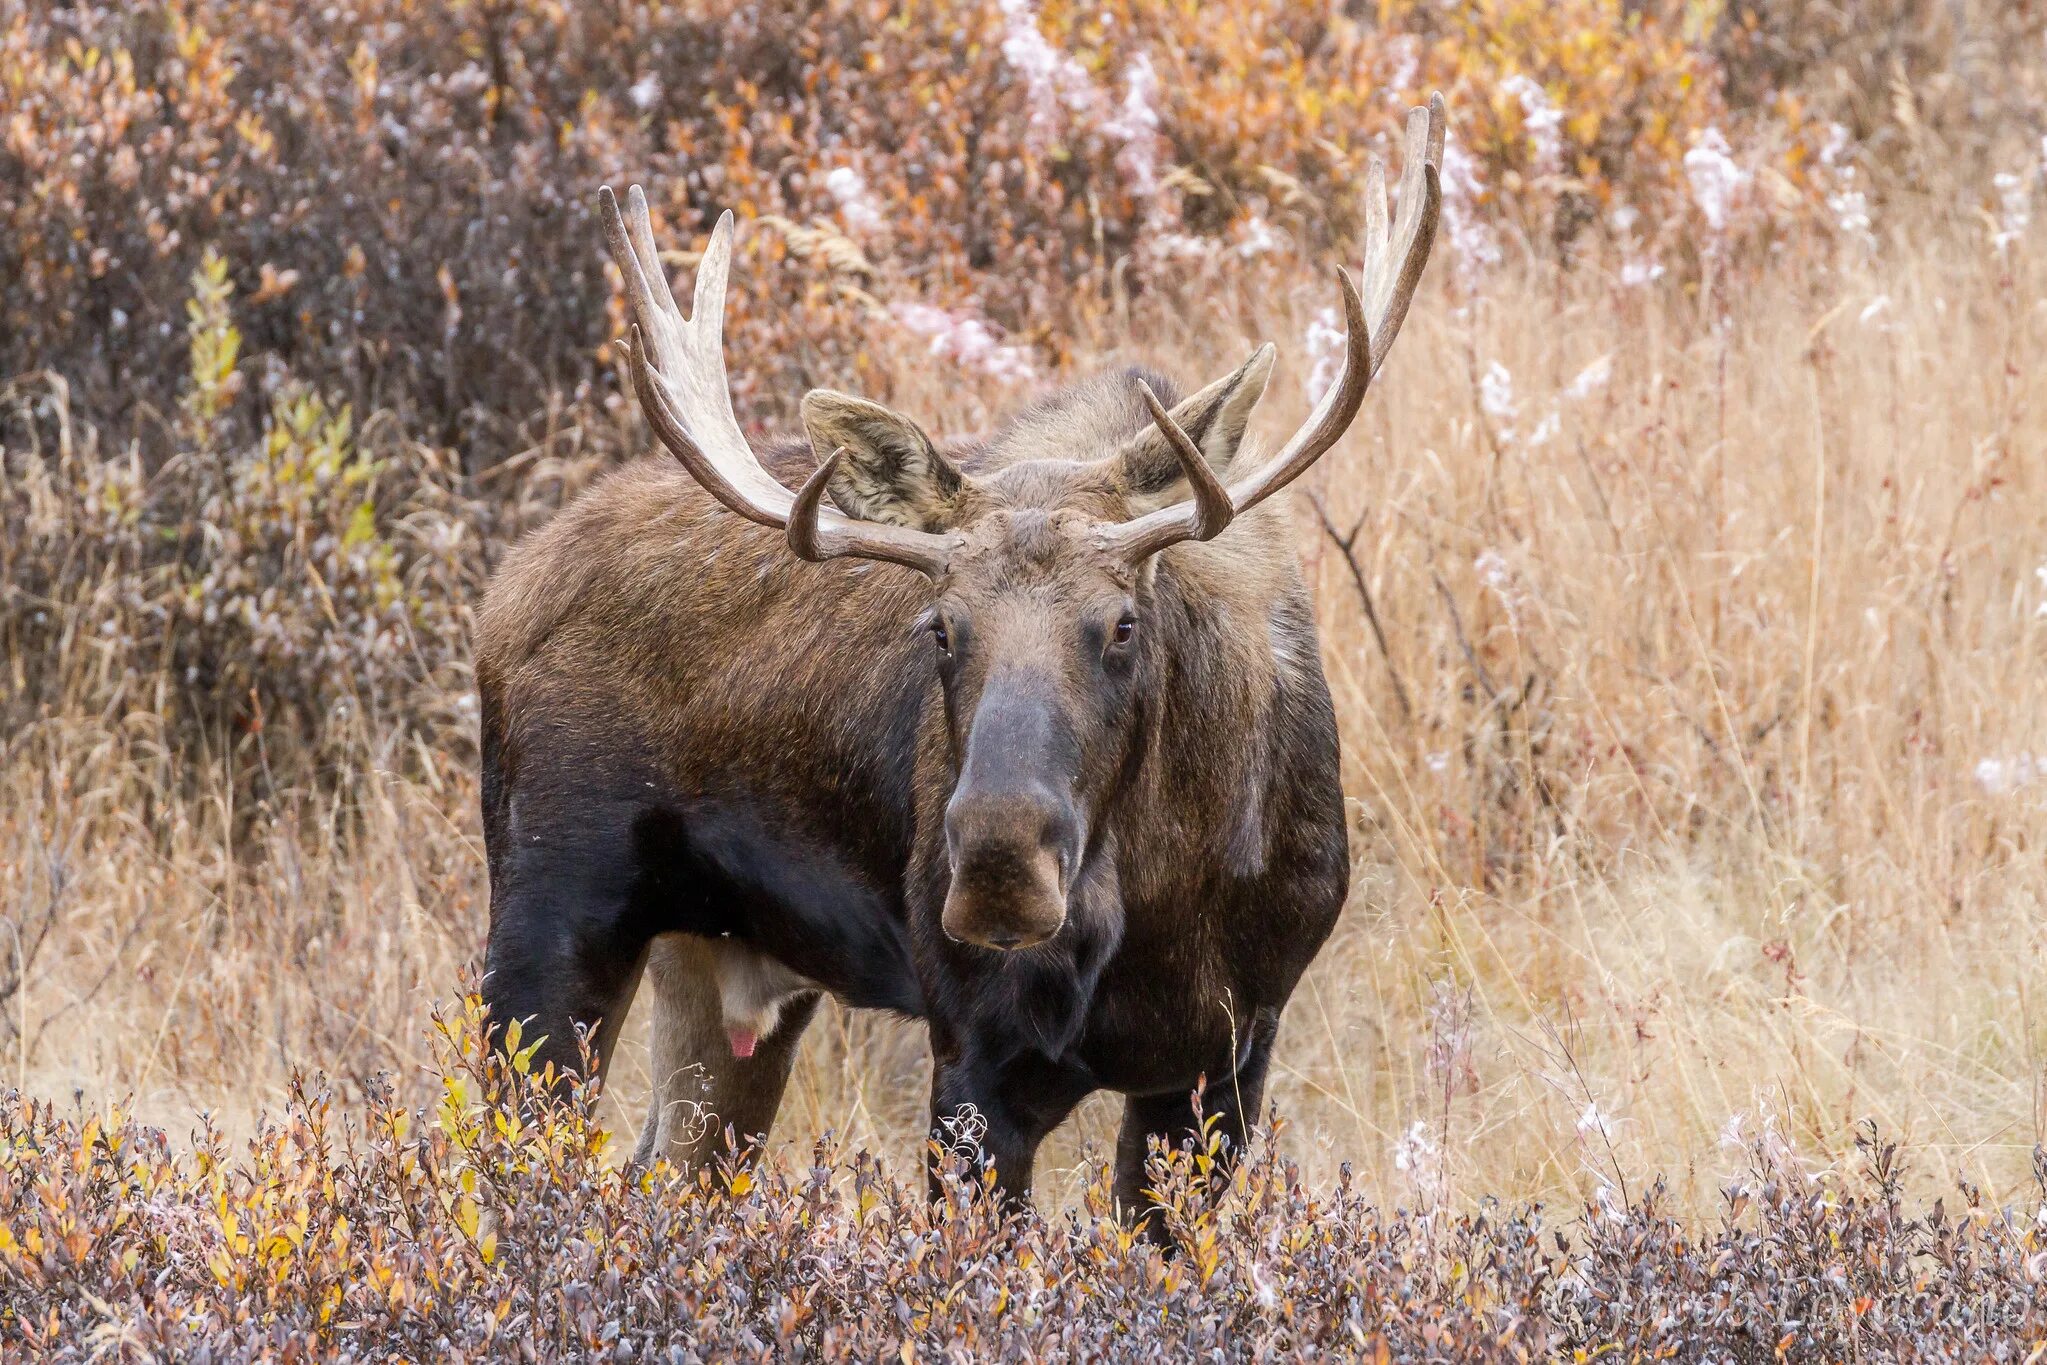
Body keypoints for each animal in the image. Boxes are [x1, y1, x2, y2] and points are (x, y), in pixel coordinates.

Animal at [472, 96, 1449, 1211]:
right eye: (939, 626)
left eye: (1123, 623)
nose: (996, 863)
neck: (1165, 894)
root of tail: (503, 589)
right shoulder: (979, 1057)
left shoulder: (1226, 1057)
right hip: (549, 922)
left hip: (724, 975)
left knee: (662, 1173)